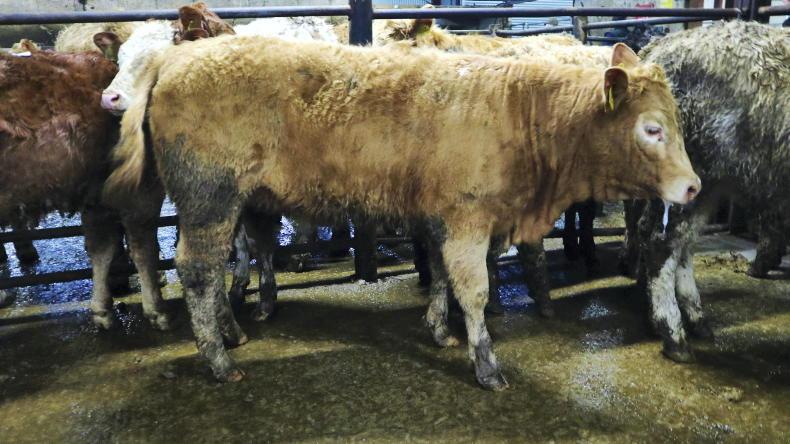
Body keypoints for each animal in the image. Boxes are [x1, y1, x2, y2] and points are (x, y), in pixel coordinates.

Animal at [105, 35, 699, 389]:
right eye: (652, 129)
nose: (693, 187)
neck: (519, 111)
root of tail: (178, 56)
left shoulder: (440, 216)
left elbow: (439, 275)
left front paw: (438, 329)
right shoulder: (466, 220)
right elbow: (473, 289)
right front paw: (485, 364)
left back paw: (231, 334)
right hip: (207, 198)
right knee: (198, 272)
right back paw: (219, 360)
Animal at [622, 21, 789, 363]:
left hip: (706, 185)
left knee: (680, 243)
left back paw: (696, 319)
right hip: (696, 176)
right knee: (661, 241)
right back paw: (674, 335)